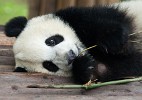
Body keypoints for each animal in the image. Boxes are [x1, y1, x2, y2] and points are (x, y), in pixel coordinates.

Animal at [3, 0, 142, 84]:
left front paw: (113, 40)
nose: (71, 56)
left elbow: (98, 20)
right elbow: (111, 69)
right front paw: (85, 66)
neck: (86, 47)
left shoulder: (76, 17)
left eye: (51, 41)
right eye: (49, 65)